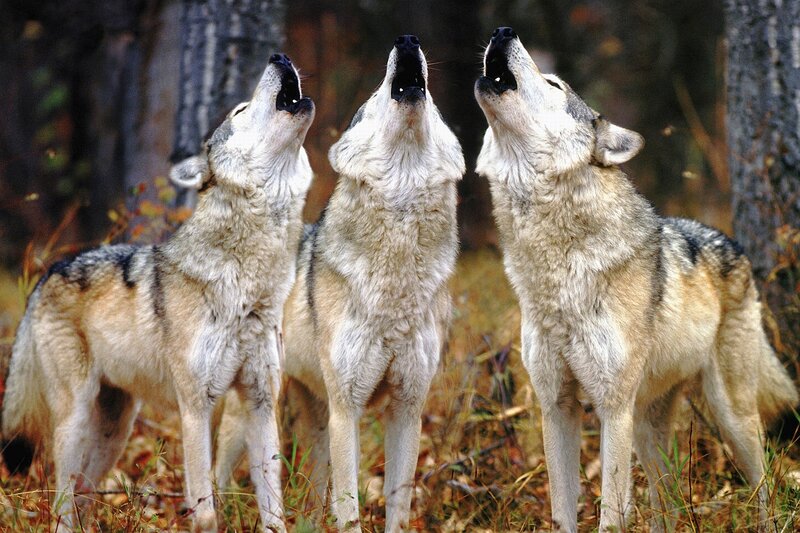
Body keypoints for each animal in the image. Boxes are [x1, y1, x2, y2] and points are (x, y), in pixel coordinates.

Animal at [1, 53, 315, 533]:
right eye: (240, 110)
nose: (279, 57)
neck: (248, 285)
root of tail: (49, 270)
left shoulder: (260, 402)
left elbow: (273, 508)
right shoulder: (195, 407)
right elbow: (205, 510)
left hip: (116, 428)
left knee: (84, 495)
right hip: (74, 420)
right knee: (62, 501)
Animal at [215, 35, 465, 532]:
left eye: (436, 105)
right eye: (373, 96)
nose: (407, 40)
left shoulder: (407, 408)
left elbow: (398, 507)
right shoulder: (347, 409)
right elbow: (349, 510)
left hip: (315, 418)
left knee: (312, 497)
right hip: (258, 411)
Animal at [474, 27, 798, 532]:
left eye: (553, 83)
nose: (503, 32)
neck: (557, 271)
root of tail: (734, 243)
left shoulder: (613, 409)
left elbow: (611, 513)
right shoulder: (557, 407)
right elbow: (563, 511)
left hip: (729, 415)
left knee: (764, 483)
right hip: (649, 429)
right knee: (671, 505)